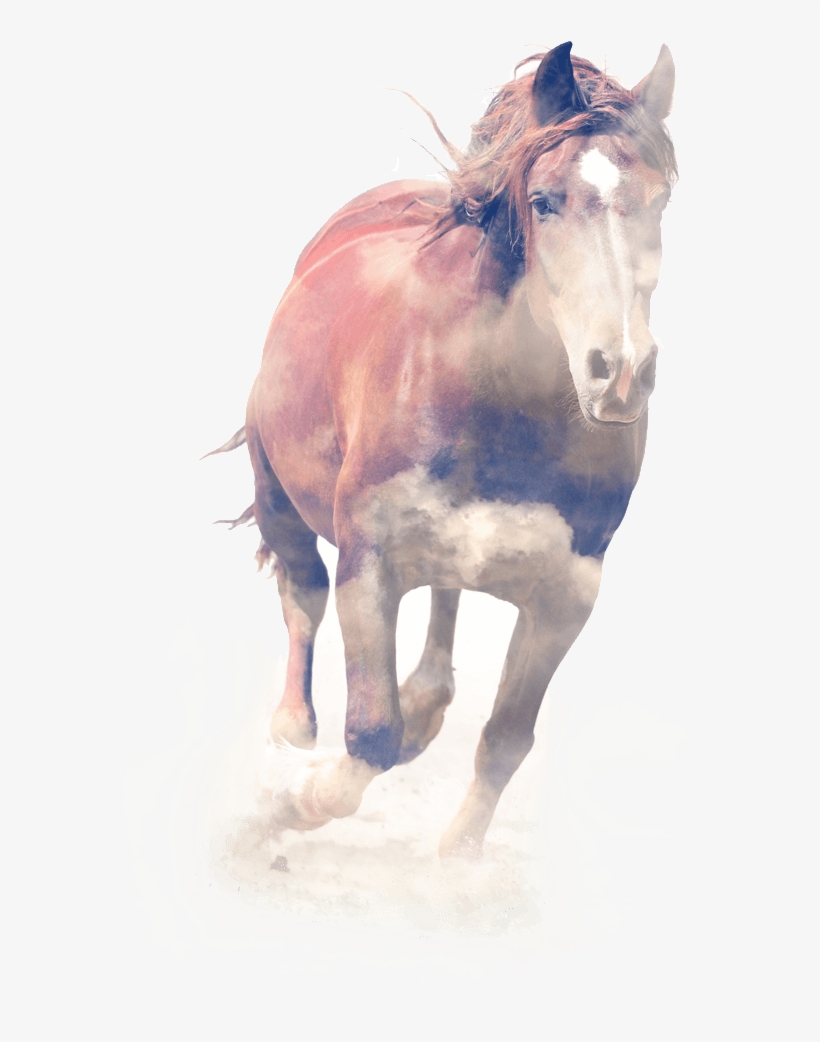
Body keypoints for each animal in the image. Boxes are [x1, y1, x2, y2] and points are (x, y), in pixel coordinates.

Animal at [212, 41, 676, 857]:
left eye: (660, 200)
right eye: (546, 200)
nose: (619, 373)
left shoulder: (568, 594)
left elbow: (505, 742)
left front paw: (454, 858)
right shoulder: (370, 559)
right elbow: (370, 731)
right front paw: (294, 800)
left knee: (443, 613)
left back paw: (421, 709)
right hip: (277, 489)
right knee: (301, 591)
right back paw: (293, 731)